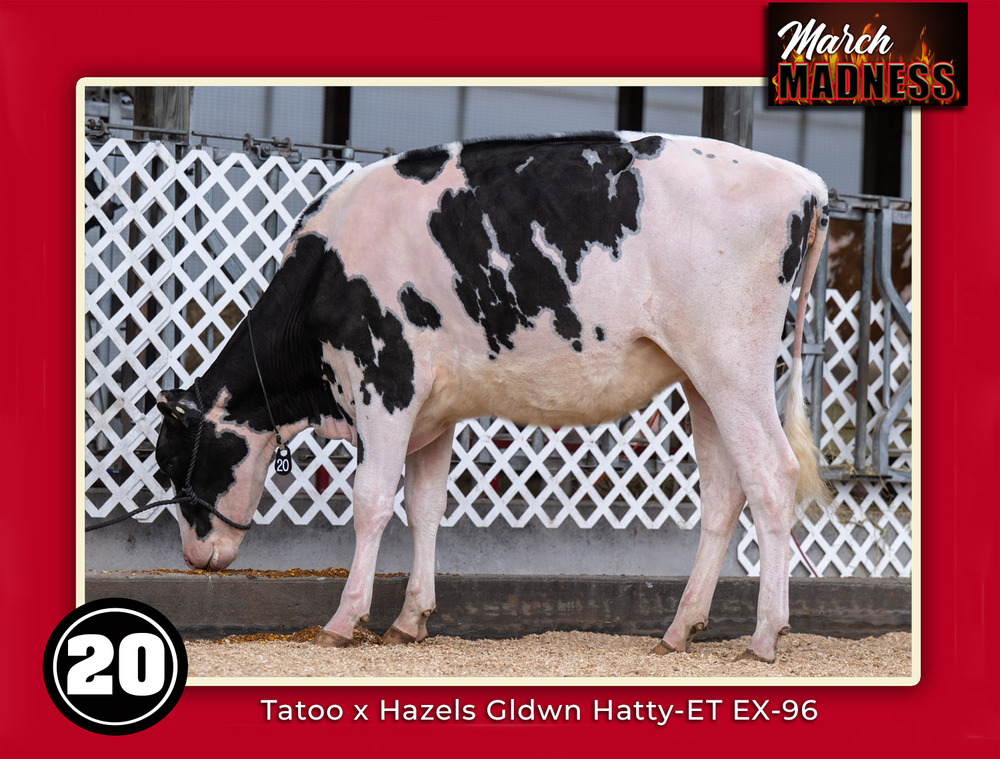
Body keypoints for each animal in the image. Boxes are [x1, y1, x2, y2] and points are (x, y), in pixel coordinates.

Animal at [154, 131, 829, 663]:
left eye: (172, 461)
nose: (193, 555)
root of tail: (805, 182)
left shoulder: (387, 384)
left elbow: (371, 502)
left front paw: (344, 621)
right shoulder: (434, 408)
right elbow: (424, 507)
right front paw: (410, 621)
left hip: (732, 366)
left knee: (772, 475)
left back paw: (765, 637)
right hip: (702, 378)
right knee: (723, 493)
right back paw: (678, 630)